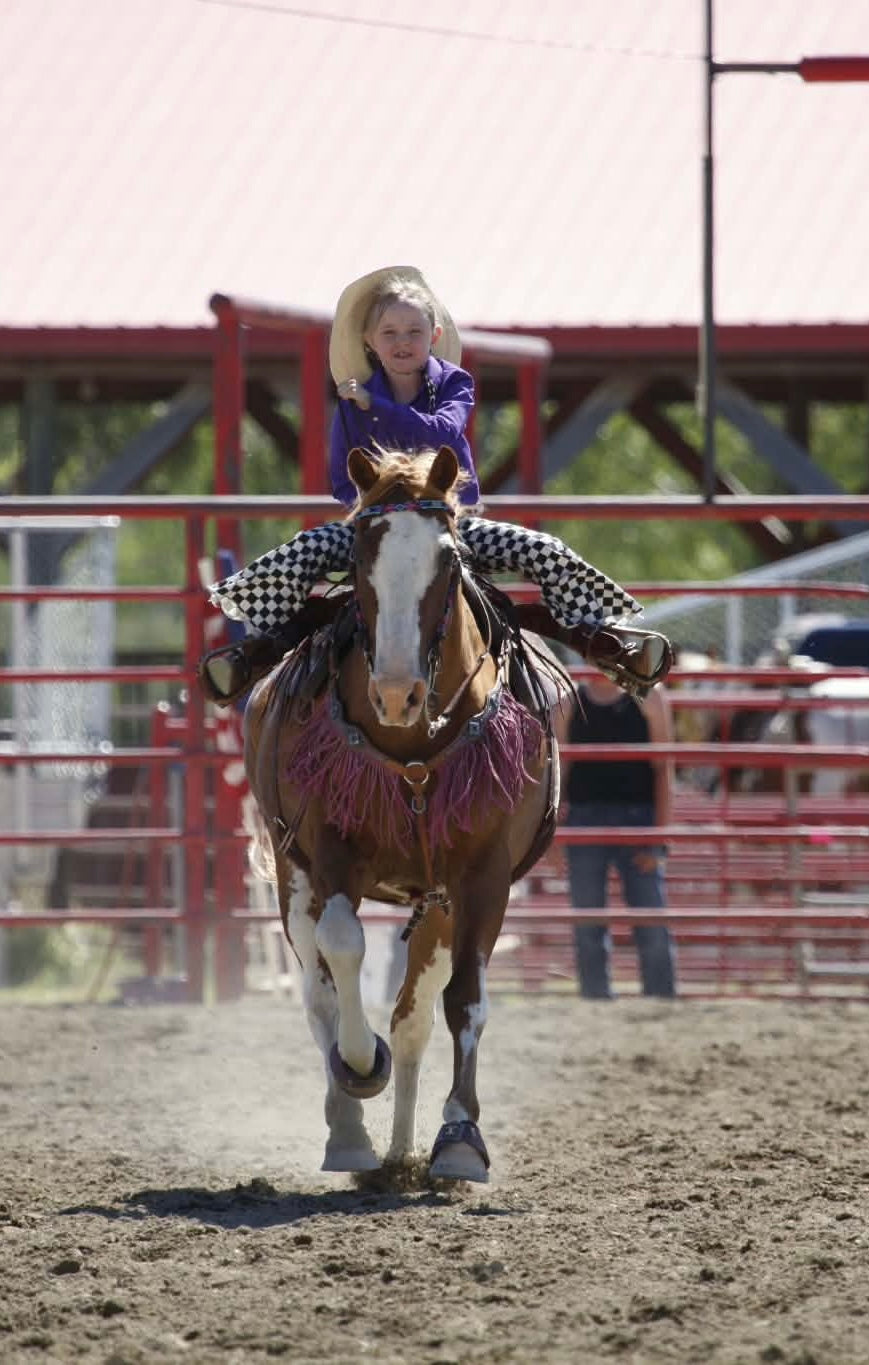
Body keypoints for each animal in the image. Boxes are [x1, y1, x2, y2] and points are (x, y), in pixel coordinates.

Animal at [243, 446, 560, 1182]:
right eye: (360, 558)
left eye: (448, 562)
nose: (394, 693)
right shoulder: (328, 853)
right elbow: (344, 948)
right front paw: (362, 1065)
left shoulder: (481, 877)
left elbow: (462, 999)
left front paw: (460, 1137)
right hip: (294, 878)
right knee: (319, 996)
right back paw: (349, 1131)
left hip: (435, 903)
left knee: (413, 1016)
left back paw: (399, 1153)